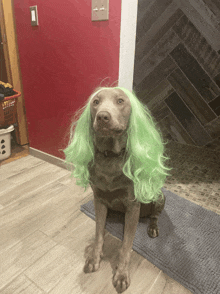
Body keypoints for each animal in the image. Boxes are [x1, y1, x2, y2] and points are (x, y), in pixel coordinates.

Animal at [64, 86, 169, 292]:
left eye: (120, 101)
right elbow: (98, 233)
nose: (103, 117)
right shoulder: (99, 200)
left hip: (159, 195)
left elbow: (126, 246)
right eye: (96, 102)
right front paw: (94, 258)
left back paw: (153, 228)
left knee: (155, 215)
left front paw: (121, 274)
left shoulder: (133, 205)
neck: (110, 155)